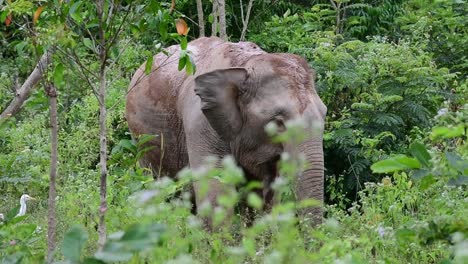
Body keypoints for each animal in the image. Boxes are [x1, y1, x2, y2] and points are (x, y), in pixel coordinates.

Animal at [126, 35, 328, 225]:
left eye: (324, 114)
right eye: (278, 122)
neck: (244, 67)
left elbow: (264, 194)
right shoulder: (200, 124)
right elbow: (215, 191)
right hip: (142, 138)